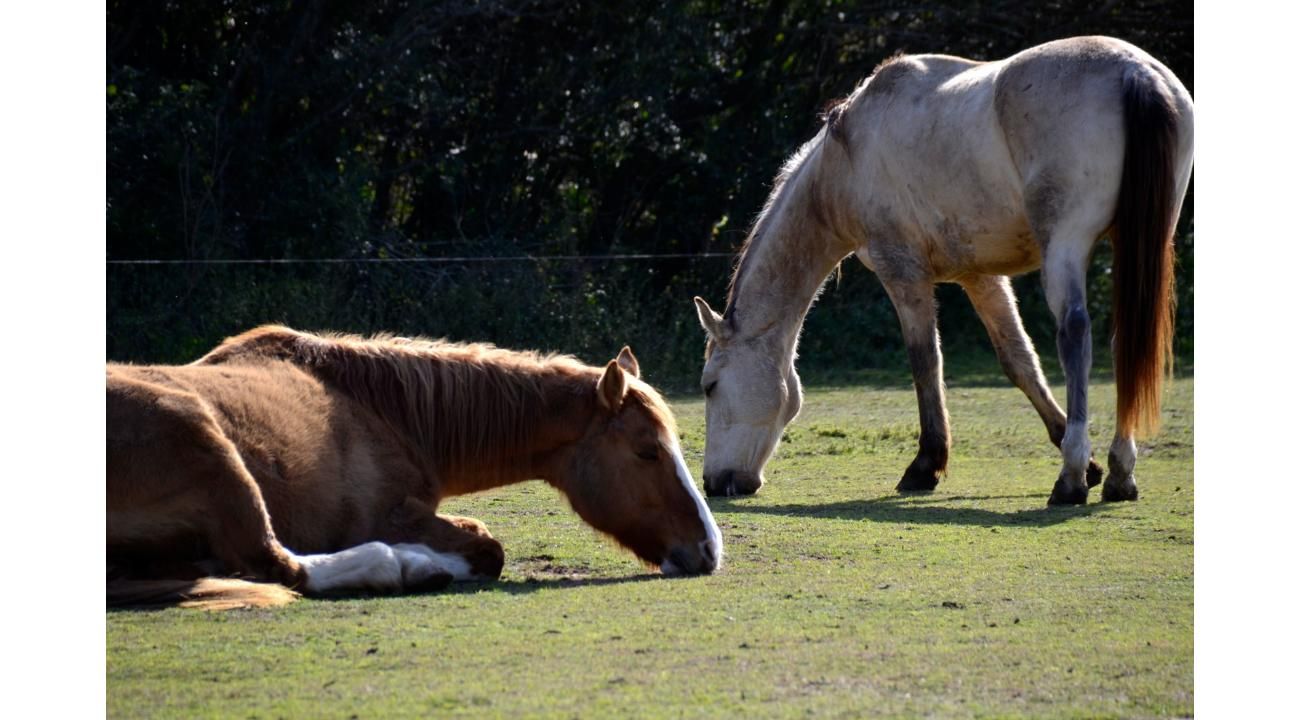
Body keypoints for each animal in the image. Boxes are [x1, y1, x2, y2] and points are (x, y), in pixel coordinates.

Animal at [107, 325, 722, 609]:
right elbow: (488, 548)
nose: (710, 549)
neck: (376, 408)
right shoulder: (393, 516)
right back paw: (409, 567)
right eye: (648, 450)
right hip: (208, 444)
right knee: (280, 566)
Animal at [691, 36, 1193, 505]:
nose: (715, 483)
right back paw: (1117, 473)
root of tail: (1135, 72)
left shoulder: (902, 271)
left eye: (710, 386)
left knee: (1075, 335)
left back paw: (1069, 480)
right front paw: (1084, 460)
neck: (845, 159)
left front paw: (925, 466)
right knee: (1125, 341)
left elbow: (925, 361)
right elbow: (1019, 360)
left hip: (1065, 248)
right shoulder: (981, 277)